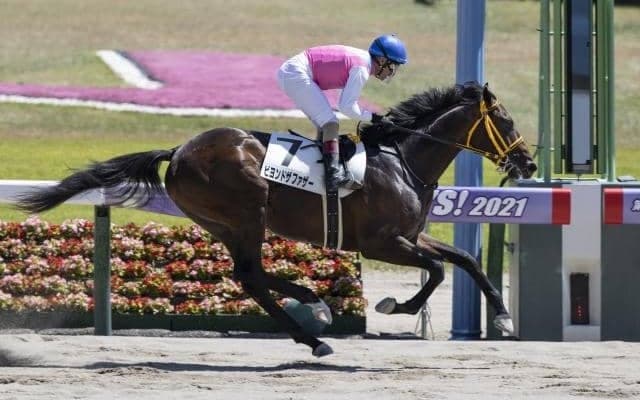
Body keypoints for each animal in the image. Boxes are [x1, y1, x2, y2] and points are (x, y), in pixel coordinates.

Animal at [17, 81, 537, 357]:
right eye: (506, 121)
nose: (529, 164)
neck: (402, 161)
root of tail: (178, 150)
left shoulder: (411, 236)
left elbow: (464, 258)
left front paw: (505, 317)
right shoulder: (381, 243)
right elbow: (437, 270)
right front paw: (396, 306)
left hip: (225, 223)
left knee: (249, 275)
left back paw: (314, 317)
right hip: (248, 210)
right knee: (250, 274)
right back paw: (314, 324)